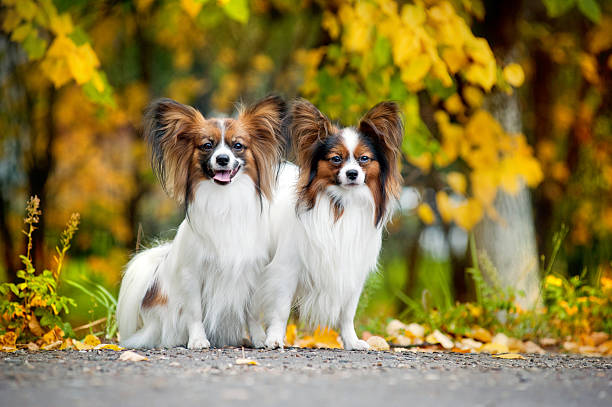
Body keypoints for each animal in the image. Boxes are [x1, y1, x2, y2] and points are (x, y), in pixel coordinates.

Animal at [117, 95, 286, 348]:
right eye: (207, 145)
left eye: (238, 146)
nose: (223, 159)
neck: (224, 200)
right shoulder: (192, 274)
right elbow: (194, 312)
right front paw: (198, 340)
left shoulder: (251, 272)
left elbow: (252, 313)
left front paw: (259, 339)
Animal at [253, 99, 402, 350]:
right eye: (336, 158)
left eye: (364, 159)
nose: (352, 173)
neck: (341, 205)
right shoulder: (286, 269)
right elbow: (281, 309)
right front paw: (274, 338)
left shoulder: (352, 270)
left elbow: (348, 313)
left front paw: (351, 341)